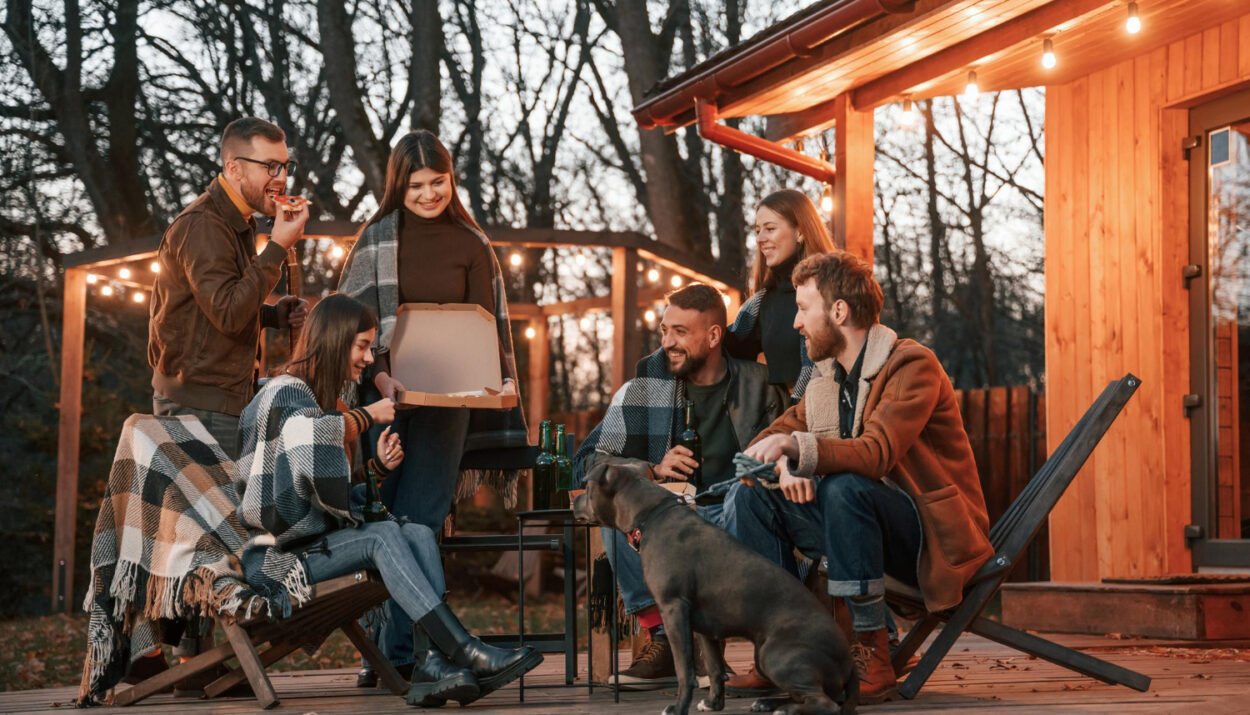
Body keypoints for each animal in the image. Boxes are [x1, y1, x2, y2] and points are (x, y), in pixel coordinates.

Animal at [572, 460, 855, 710]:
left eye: (587, 489)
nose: (574, 501)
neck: (651, 513)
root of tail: (848, 663)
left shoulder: (673, 610)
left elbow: (684, 670)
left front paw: (678, 707)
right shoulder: (704, 626)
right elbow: (714, 668)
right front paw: (713, 704)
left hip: (774, 655)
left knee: (825, 703)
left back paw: (783, 709)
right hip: (764, 656)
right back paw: (766, 703)